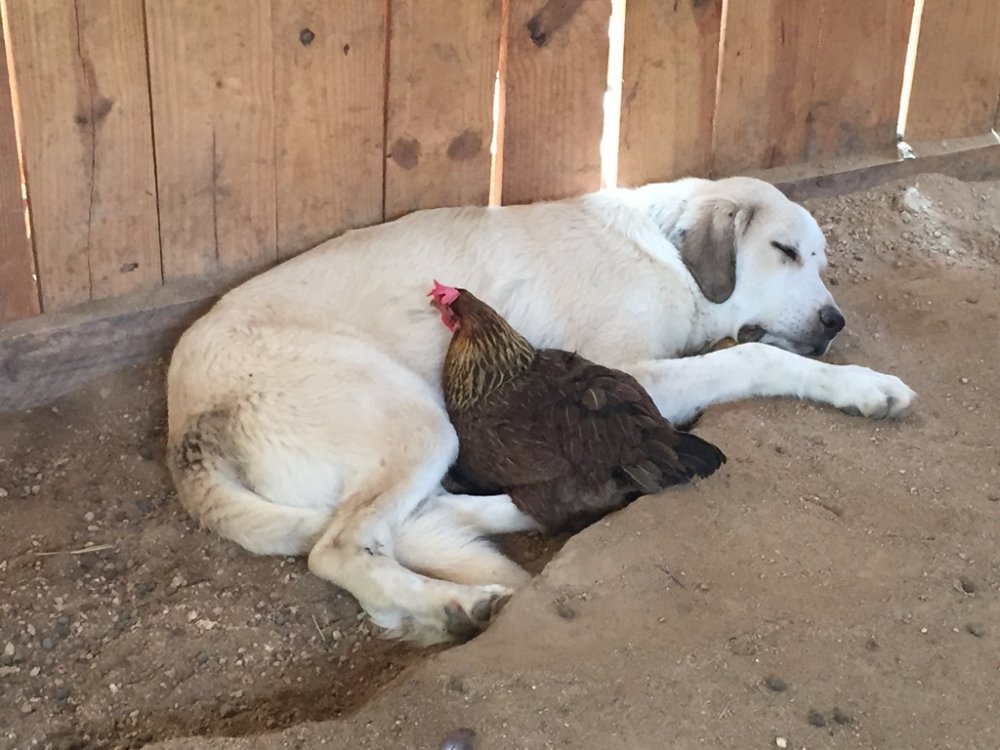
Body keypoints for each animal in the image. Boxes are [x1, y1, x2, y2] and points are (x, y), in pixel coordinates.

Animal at [168, 178, 916, 648]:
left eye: (819, 261)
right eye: (783, 252)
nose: (835, 323)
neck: (662, 251)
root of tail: (185, 422)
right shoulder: (630, 374)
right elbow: (754, 358)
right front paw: (860, 383)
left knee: (416, 525)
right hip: (420, 422)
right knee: (342, 547)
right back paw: (453, 604)